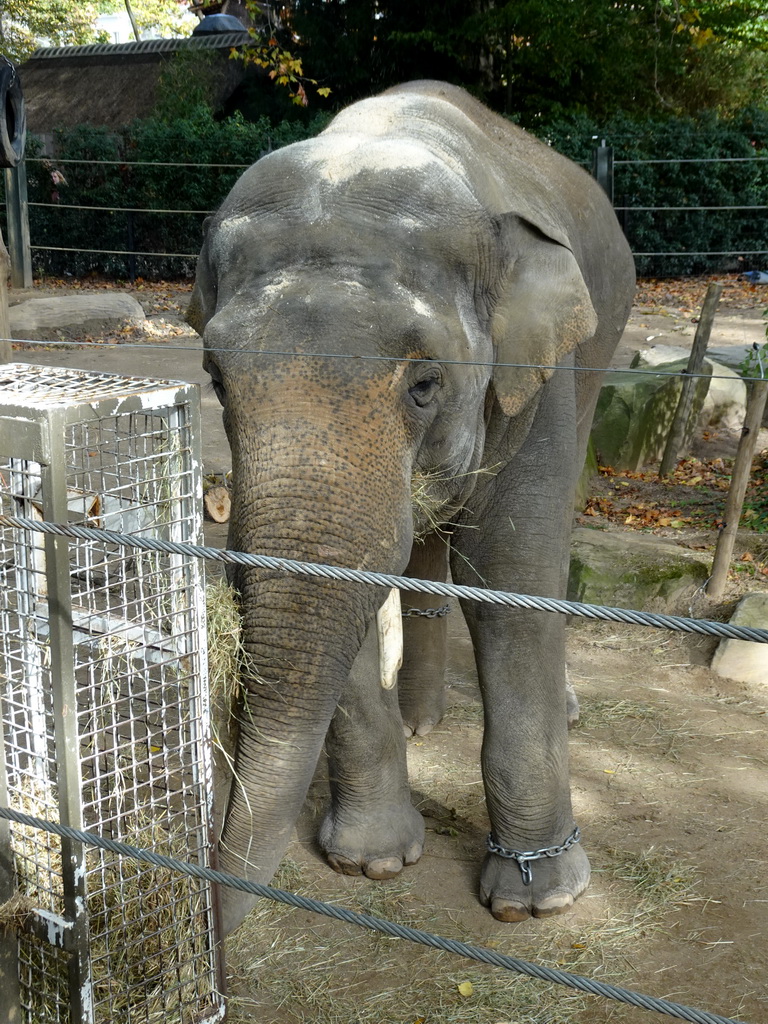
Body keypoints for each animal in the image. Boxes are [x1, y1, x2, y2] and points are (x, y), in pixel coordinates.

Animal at [188, 79, 638, 933]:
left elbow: (510, 579)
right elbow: (360, 588)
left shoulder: (539, 377)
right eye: (216, 379)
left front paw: (538, 902)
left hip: (600, 352)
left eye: (424, 384)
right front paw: (371, 863)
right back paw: (418, 720)